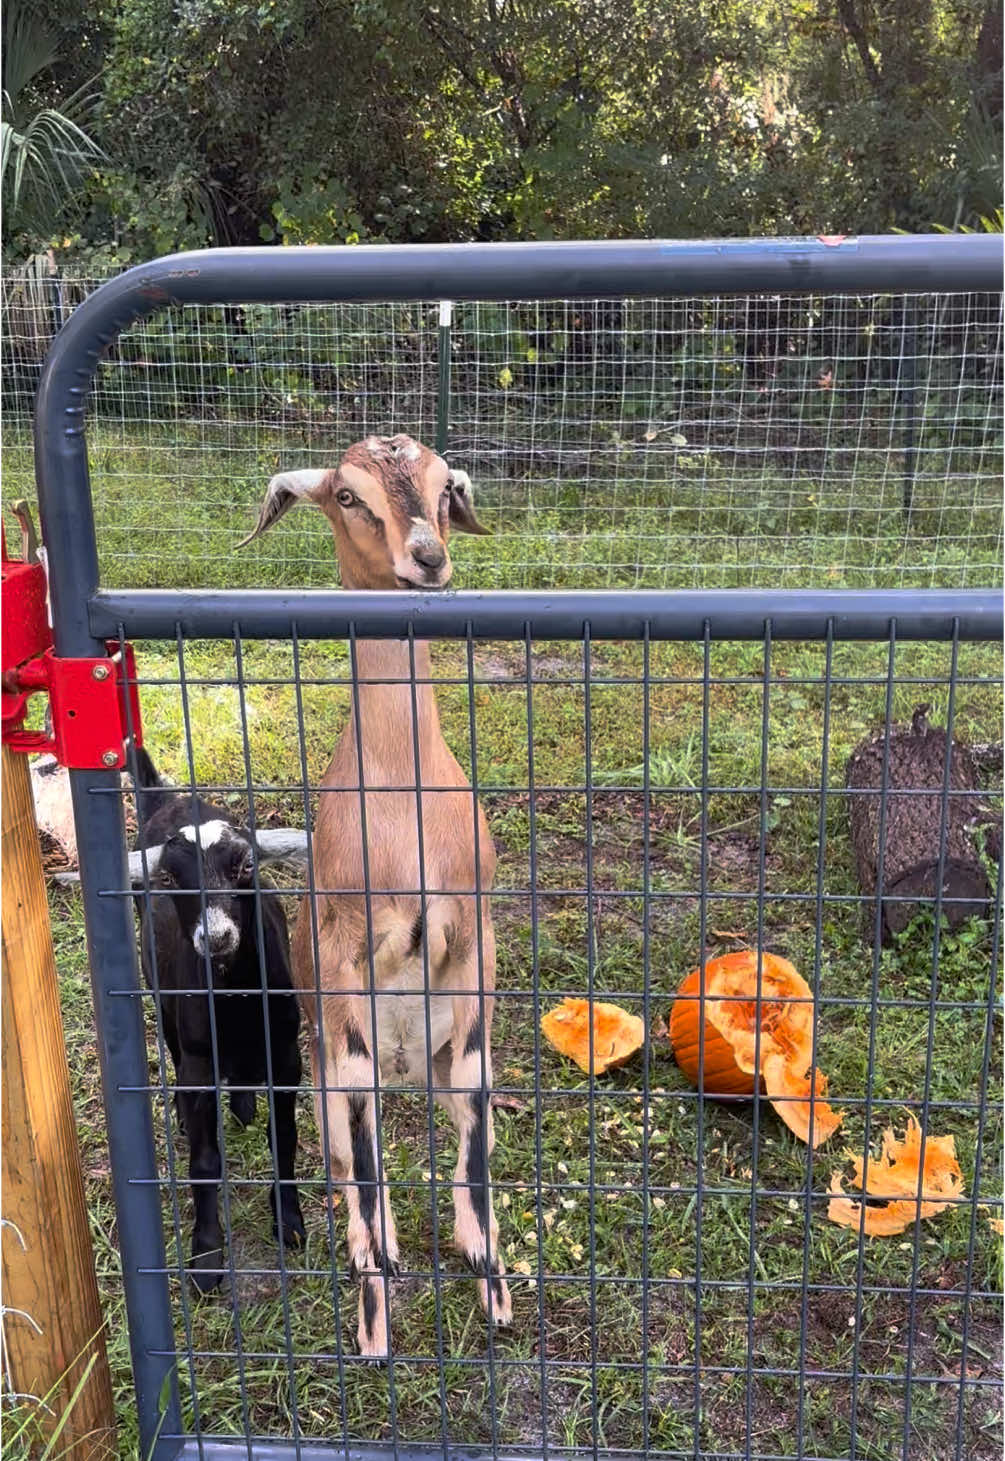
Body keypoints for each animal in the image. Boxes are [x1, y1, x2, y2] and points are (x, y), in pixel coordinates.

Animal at [132, 746, 305, 1292]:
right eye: (170, 878)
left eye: (245, 864)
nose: (218, 935)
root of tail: (166, 799)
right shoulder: (198, 1062)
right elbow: (205, 1161)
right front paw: (206, 1256)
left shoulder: (287, 1055)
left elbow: (284, 1138)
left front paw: (290, 1222)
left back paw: (244, 1101)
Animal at [239, 432, 511, 1357]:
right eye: (348, 495)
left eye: (441, 486)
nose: (426, 556)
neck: (401, 801)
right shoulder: (343, 952)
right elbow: (360, 1141)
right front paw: (375, 1316)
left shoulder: (472, 940)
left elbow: (474, 1119)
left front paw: (494, 1280)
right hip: (321, 1067)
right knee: (346, 1148)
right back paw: (373, 1247)